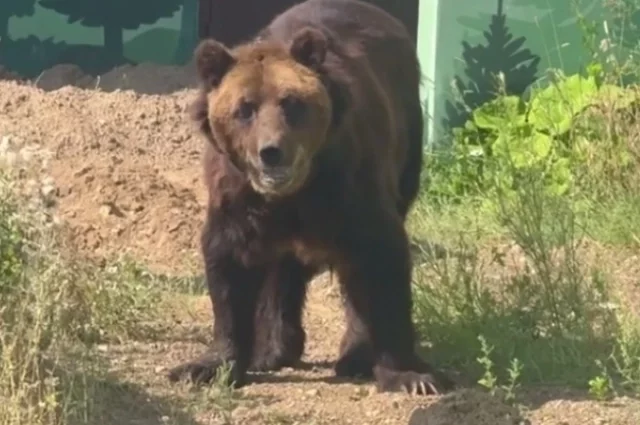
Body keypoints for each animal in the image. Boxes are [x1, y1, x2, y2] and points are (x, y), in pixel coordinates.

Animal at [167, 0, 453, 395]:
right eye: (244, 108)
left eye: (291, 102)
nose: (272, 152)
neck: (295, 193)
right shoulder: (237, 198)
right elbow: (229, 267)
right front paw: (208, 366)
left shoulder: (351, 187)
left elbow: (381, 262)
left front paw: (411, 375)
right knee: (282, 271)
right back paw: (272, 348)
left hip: (407, 144)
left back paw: (354, 356)